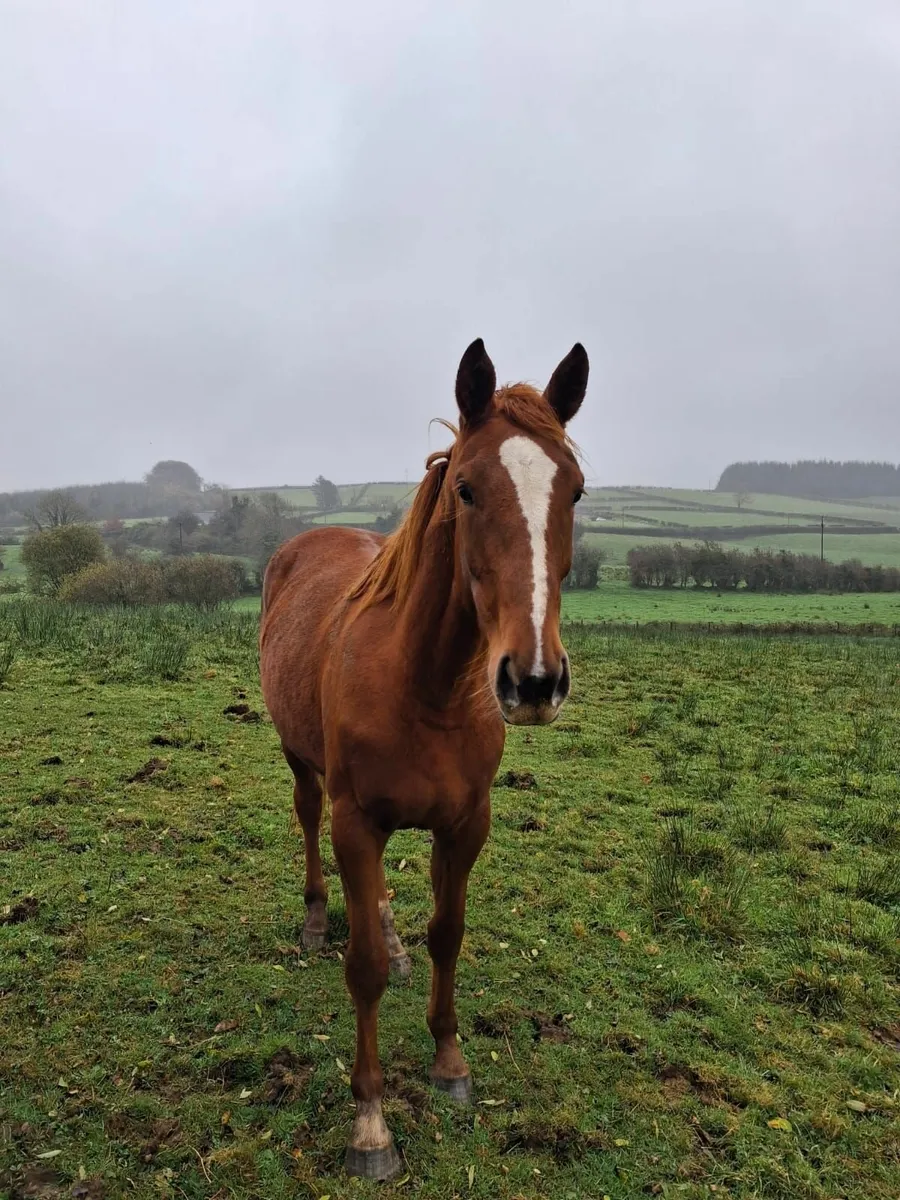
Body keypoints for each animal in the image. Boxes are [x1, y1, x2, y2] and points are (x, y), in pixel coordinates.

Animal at [259, 338, 589, 1180]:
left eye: (574, 491)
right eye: (467, 490)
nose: (533, 681)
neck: (426, 686)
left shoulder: (465, 825)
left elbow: (448, 932)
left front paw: (449, 1062)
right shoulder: (356, 824)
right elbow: (364, 969)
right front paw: (371, 1123)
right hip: (302, 766)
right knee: (307, 825)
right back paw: (316, 920)